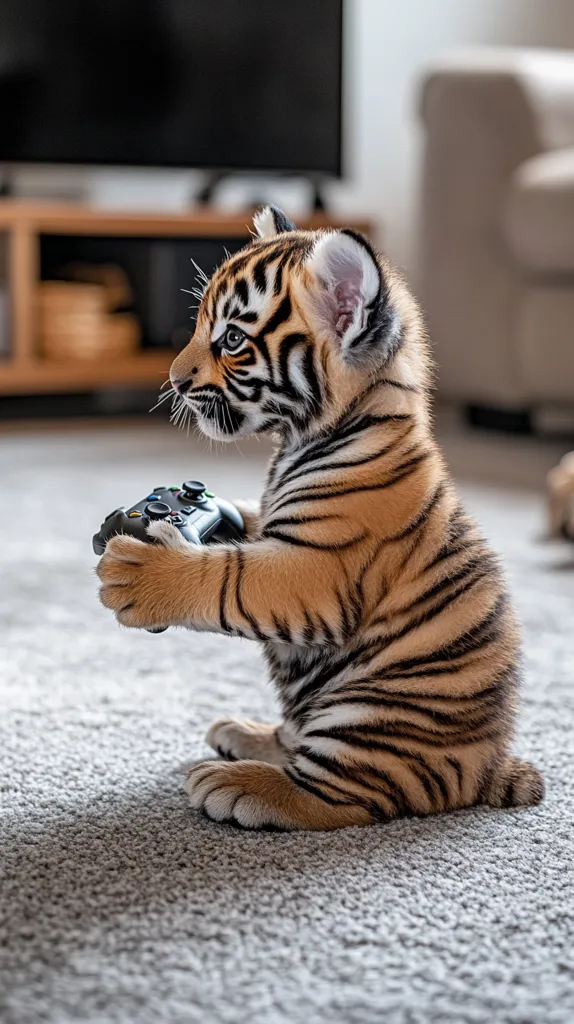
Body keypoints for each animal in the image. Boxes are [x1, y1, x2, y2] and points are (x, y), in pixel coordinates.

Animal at [97, 205, 544, 831]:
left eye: (231, 338)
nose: (175, 379)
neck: (305, 437)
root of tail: (488, 763)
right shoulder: (275, 527)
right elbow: (243, 526)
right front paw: (206, 509)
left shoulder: (320, 569)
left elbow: (232, 577)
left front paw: (140, 572)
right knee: (299, 744)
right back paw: (246, 734)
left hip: (372, 710)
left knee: (342, 791)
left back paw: (237, 783)